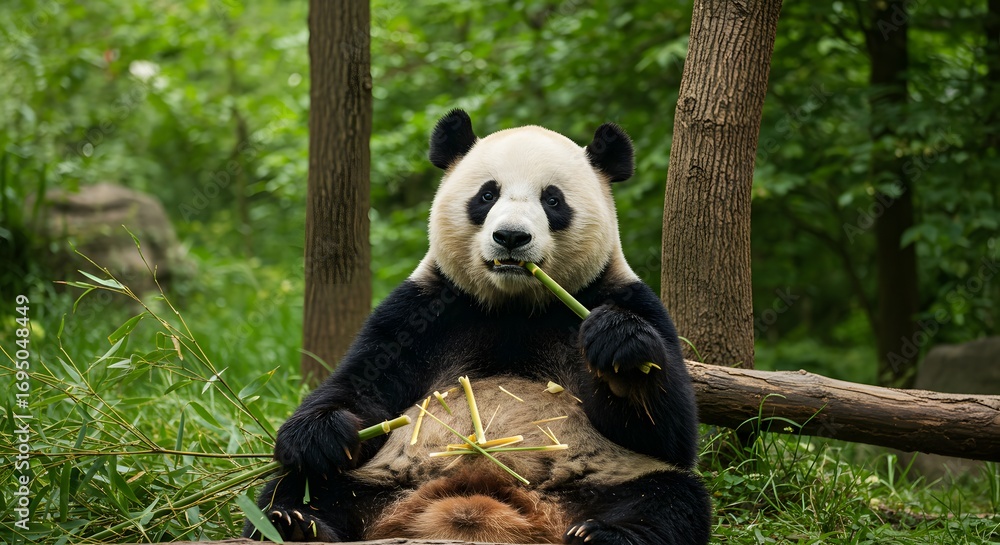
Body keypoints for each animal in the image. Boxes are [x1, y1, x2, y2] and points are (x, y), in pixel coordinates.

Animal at [244, 109, 712, 545]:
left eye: (553, 200)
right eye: (487, 194)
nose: (511, 237)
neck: (513, 306)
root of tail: (479, 502)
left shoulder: (622, 296)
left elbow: (666, 434)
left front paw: (619, 346)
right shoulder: (424, 311)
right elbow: (360, 387)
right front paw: (321, 435)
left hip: (604, 477)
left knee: (668, 496)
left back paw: (604, 534)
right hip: (376, 479)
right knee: (300, 486)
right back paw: (294, 524)